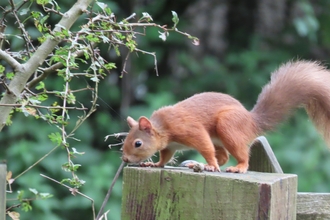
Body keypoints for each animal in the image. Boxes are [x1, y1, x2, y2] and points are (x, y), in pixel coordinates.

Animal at [120, 61, 330, 173]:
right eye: (125, 141)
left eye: (138, 143)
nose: (125, 159)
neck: (163, 127)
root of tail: (251, 121)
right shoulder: (169, 146)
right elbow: (165, 157)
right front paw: (154, 163)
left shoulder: (191, 130)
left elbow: (204, 145)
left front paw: (211, 165)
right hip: (220, 138)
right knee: (223, 156)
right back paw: (199, 164)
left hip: (228, 126)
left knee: (239, 155)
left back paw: (235, 167)